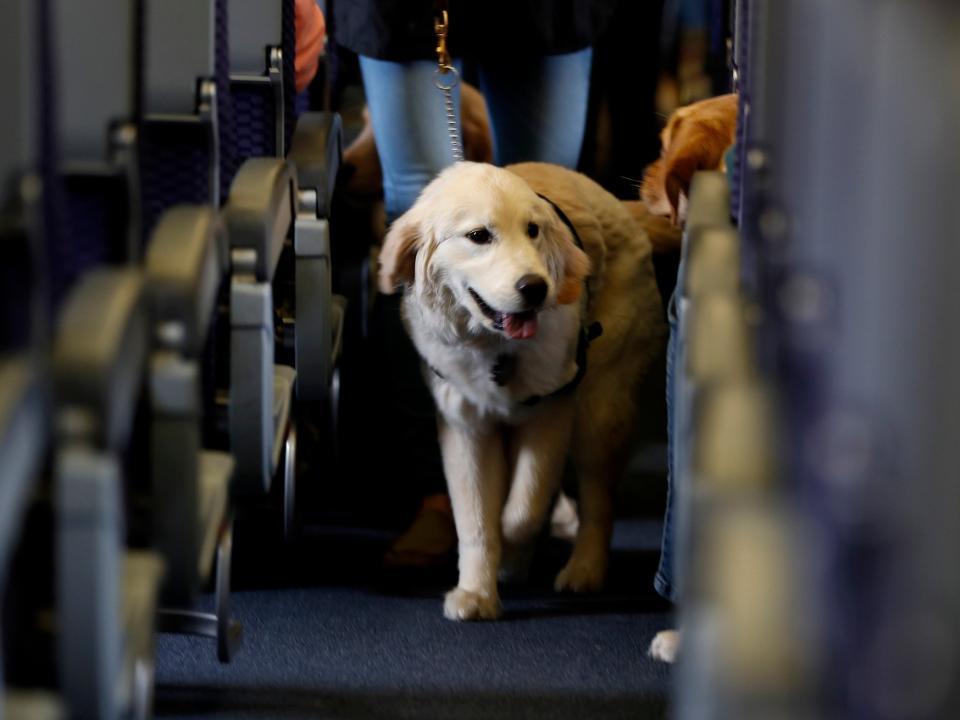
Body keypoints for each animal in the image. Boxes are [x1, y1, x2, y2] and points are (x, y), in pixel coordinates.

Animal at [378, 162, 664, 620]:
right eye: (479, 235)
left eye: (533, 231)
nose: (536, 287)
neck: (496, 347)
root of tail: (619, 205)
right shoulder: (465, 425)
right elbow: (476, 518)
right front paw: (476, 593)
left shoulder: (552, 410)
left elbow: (523, 509)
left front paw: (512, 551)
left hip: (601, 410)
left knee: (599, 500)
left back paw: (584, 569)